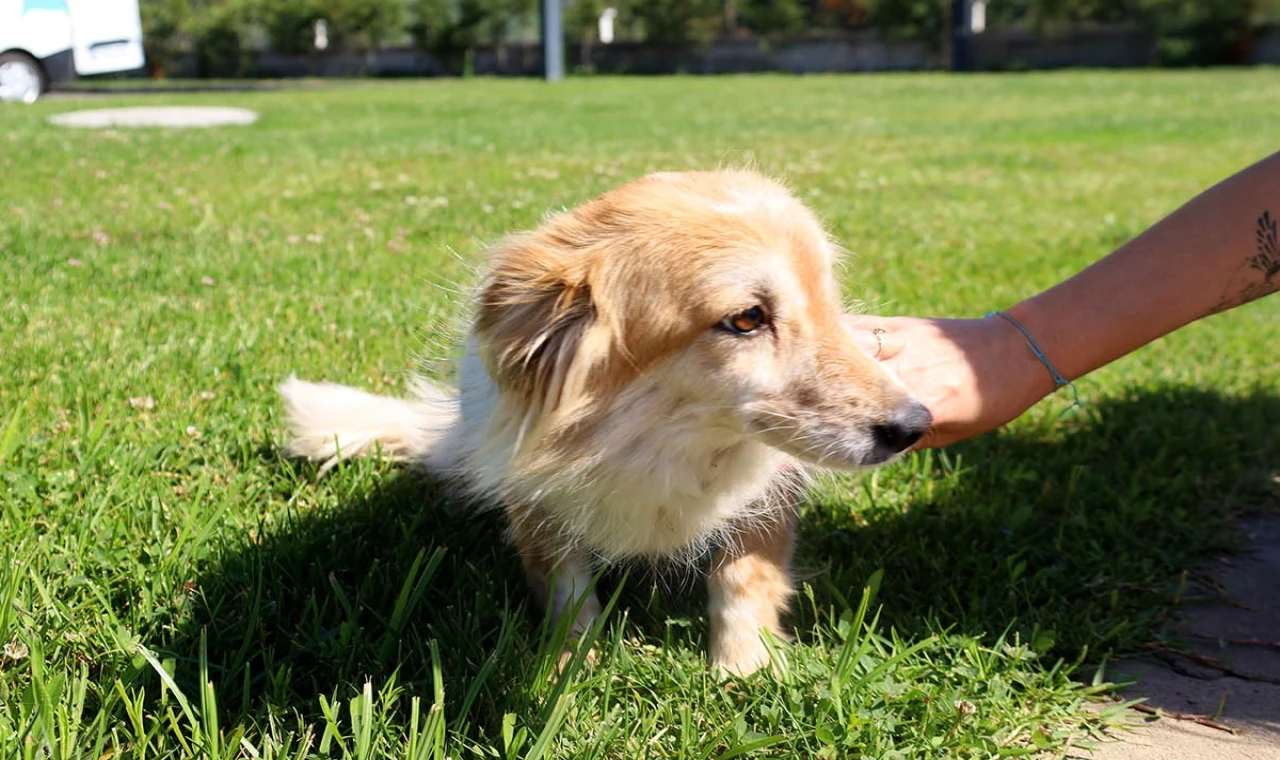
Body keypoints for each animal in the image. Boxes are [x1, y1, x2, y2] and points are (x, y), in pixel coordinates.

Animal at [277, 167, 931, 675]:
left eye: (829, 304)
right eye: (746, 318)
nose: (916, 424)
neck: (654, 439)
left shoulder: (767, 497)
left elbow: (744, 577)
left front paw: (745, 669)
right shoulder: (539, 505)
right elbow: (568, 590)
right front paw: (573, 668)